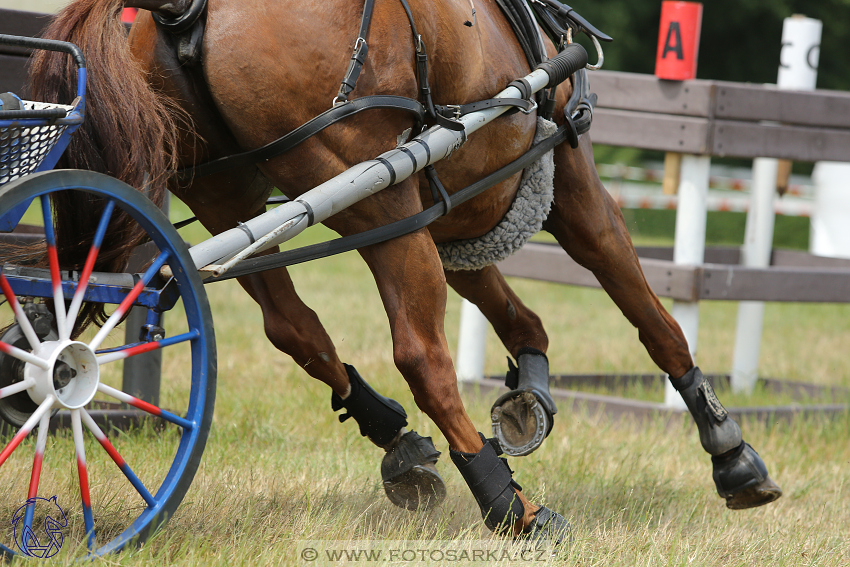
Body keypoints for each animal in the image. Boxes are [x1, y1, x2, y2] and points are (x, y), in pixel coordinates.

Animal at [33, 0, 780, 540]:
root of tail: (181, 11)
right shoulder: (571, 180)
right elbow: (651, 318)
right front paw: (728, 449)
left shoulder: (449, 211)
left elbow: (521, 317)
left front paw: (526, 397)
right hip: (378, 189)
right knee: (421, 355)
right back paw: (509, 505)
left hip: (240, 199)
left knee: (295, 326)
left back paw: (398, 437)